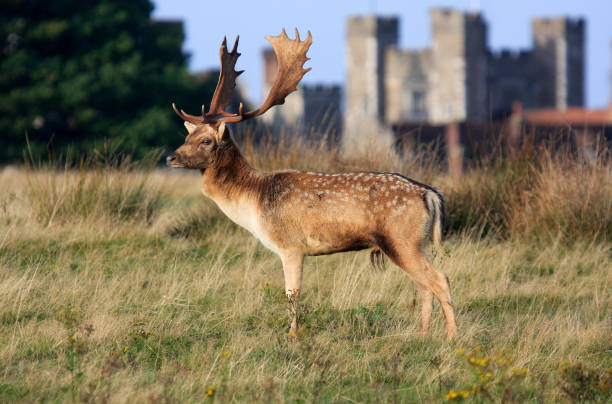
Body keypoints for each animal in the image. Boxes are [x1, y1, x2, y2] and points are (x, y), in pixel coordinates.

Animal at [165, 27, 456, 338]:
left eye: (206, 141)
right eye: (187, 137)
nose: (171, 157)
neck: (254, 201)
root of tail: (430, 195)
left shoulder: (291, 245)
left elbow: (292, 293)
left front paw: (292, 335)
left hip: (402, 238)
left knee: (440, 279)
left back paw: (452, 337)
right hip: (412, 242)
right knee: (424, 286)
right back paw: (422, 334)